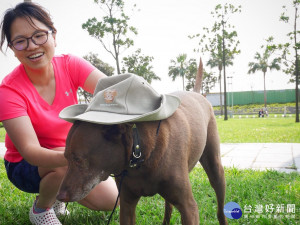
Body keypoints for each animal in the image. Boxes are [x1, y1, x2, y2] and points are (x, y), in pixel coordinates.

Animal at [56, 89, 227, 224]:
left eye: (78, 159)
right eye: (66, 158)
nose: (59, 196)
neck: (140, 158)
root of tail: (196, 93)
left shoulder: (188, 207)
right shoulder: (127, 205)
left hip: (215, 169)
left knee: (220, 208)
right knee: (169, 205)